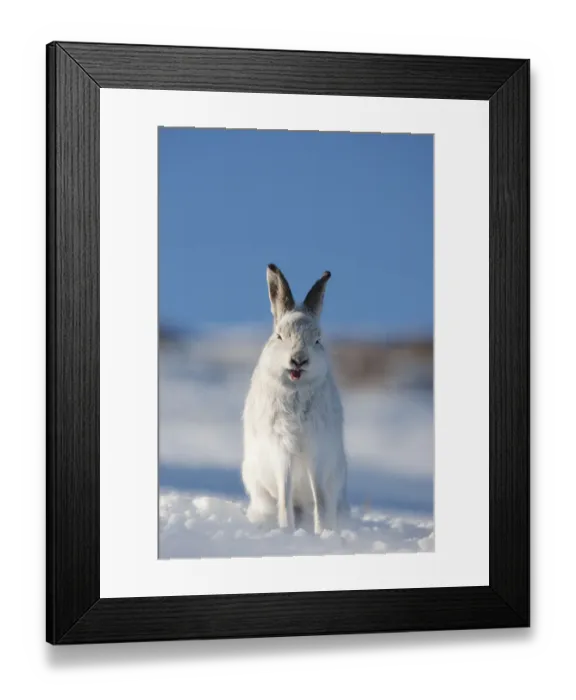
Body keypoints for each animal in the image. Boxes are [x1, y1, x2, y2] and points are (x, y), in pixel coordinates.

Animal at [241, 263, 349, 535]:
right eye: (279, 336)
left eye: (318, 340)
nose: (299, 360)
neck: (296, 389)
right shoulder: (282, 450)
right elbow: (284, 494)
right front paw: (287, 530)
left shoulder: (316, 452)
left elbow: (320, 498)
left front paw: (322, 533)